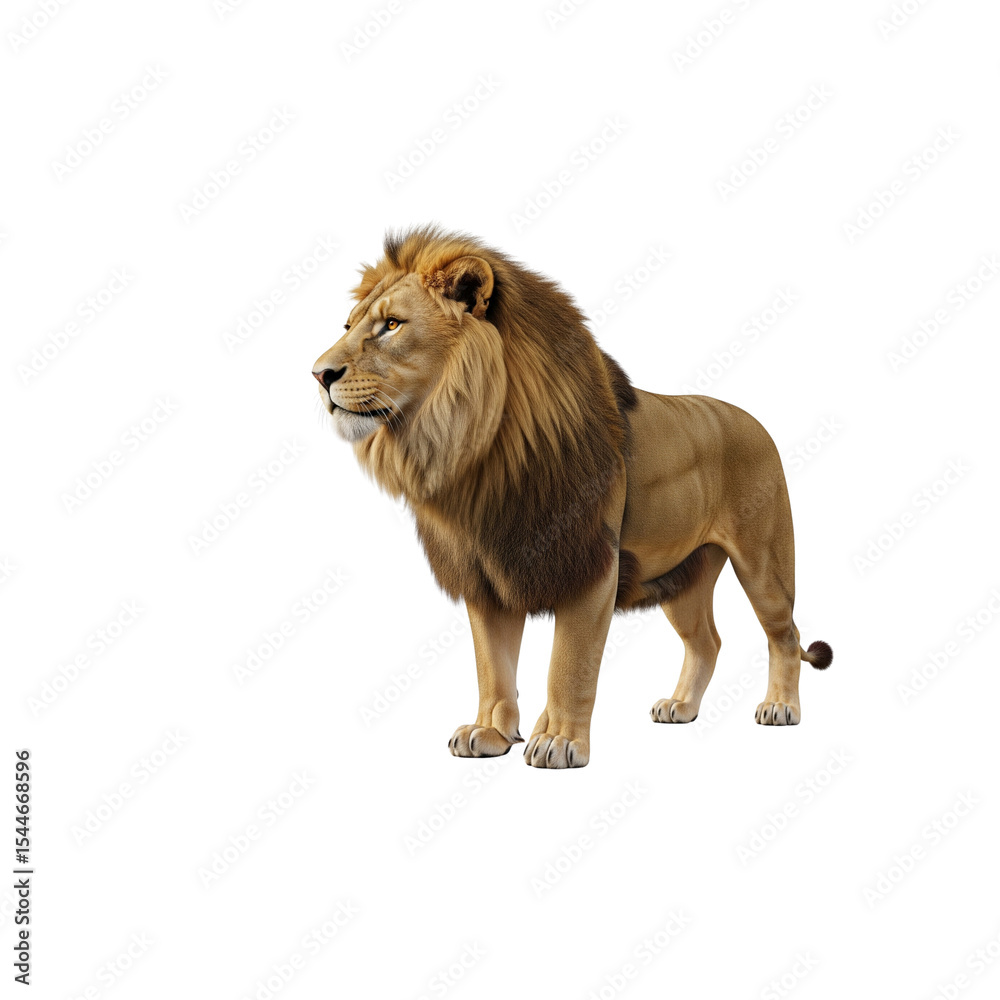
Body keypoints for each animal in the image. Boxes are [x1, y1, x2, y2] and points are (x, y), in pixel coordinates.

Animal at [312, 226, 832, 768]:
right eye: (348, 325)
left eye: (391, 325)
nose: (318, 374)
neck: (476, 453)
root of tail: (754, 421)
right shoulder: (485, 575)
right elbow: (492, 667)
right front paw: (491, 732)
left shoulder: (592, 563)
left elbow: (570, 663)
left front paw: (560, 740)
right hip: (683, 575)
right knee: (707, 641)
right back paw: (681, 706)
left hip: (763, 563)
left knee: (786, 635)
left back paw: (780, 707)